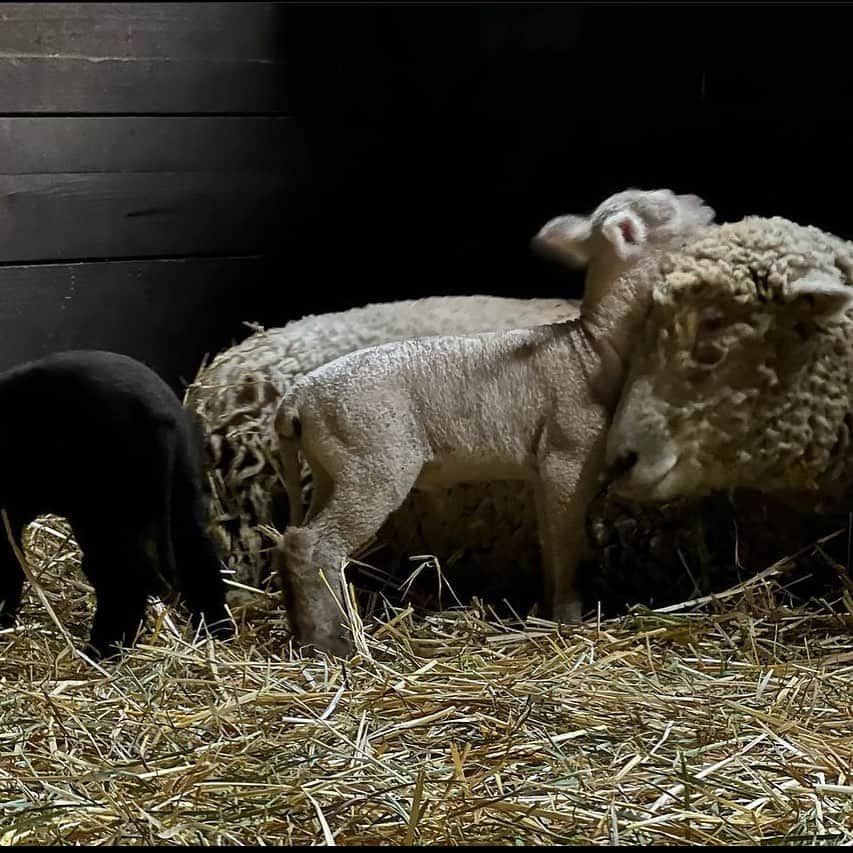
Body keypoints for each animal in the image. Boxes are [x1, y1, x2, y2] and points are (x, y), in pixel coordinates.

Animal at [278, 188, 712, 652]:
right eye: (664, 209)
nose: (705, 206)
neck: (592, 347)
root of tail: (295, 399)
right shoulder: (567, 457)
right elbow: (569, 544)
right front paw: (570, 618)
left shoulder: (542, 470)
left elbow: (550, 542)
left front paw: (549, 608)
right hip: (372, 461)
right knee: (318, 545)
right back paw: (333, 643)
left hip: (332, 467)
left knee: (293, 539)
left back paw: (303, 630)